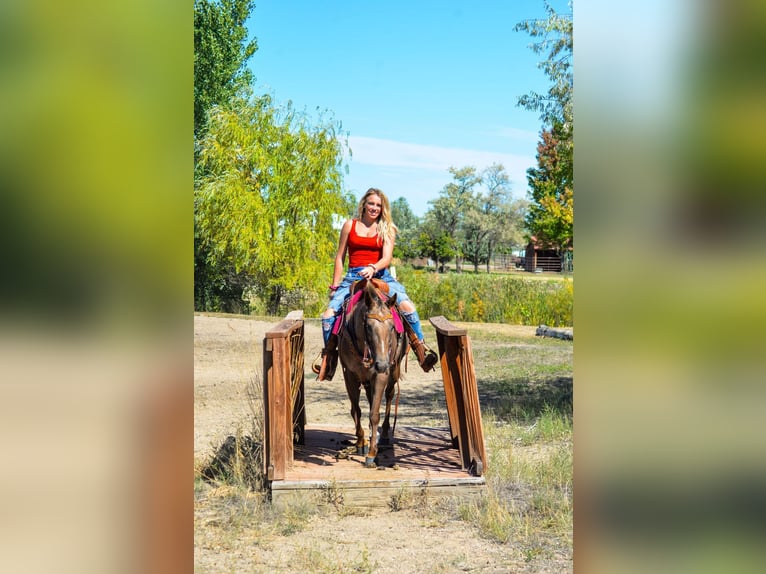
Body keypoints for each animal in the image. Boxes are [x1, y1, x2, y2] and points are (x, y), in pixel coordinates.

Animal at [340, 278, 412, 468]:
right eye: (368, 326)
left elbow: (374, 414)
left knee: (389, 396)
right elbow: (356, 410)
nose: (382, 364)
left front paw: (372, 453)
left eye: (392, 327)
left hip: (394, 371)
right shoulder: (349, 374)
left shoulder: (381, 376)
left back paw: (385, 434)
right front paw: (361, 442)